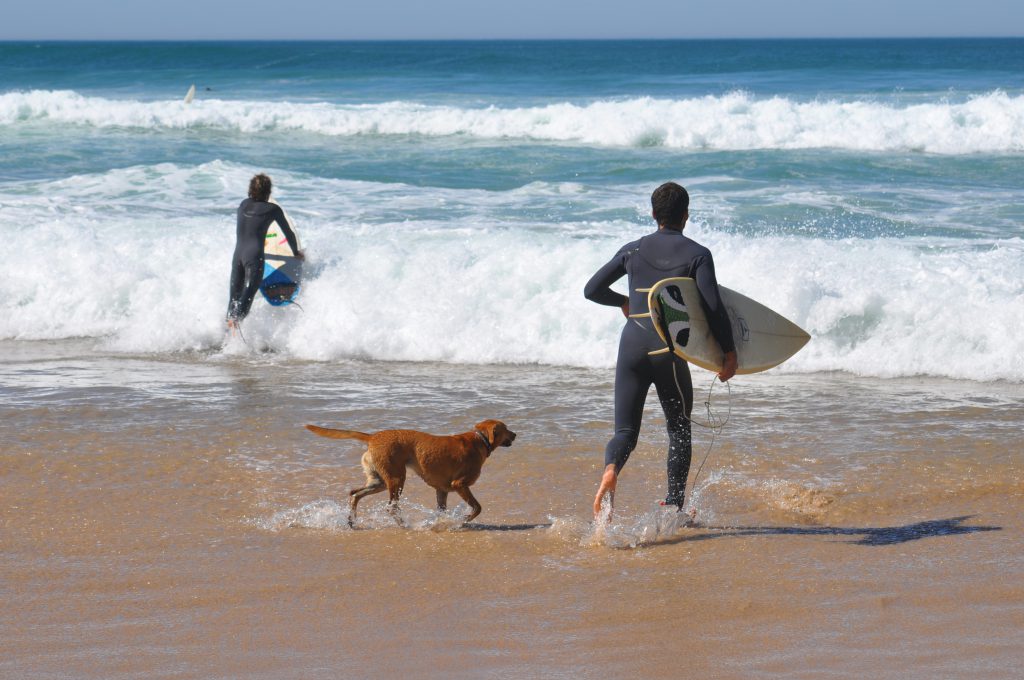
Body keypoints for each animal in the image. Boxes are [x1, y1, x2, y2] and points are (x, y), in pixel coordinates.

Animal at [301, 417, 512, 522]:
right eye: (506, 429)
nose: (516, 435)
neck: (480, 439)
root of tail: (373, 437)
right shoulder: (460, 484)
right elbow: (477, 507)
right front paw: (465, 519)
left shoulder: (442, 490)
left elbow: (441, 511)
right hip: (396, 479)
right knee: (391, 507)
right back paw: (403, 524)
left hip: (379, 481)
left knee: (355, 493)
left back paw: (352, 520)